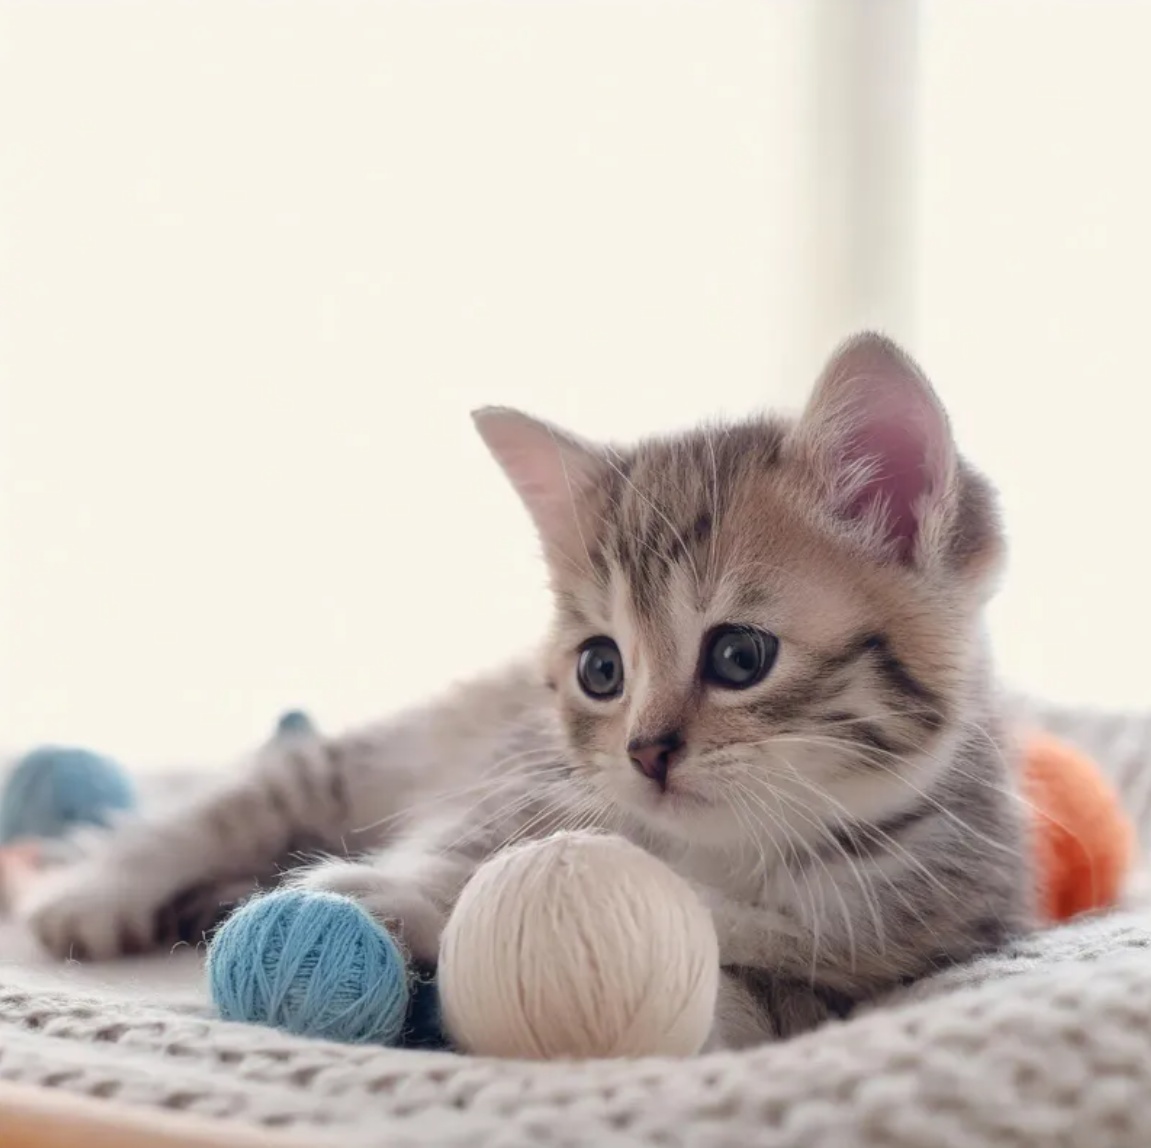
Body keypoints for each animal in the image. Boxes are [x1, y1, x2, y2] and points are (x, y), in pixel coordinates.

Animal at [20, 333, 1035, 1050]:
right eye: (601, 669)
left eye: (741, 656)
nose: (645, 752)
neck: (729, 854)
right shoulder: (511, 786)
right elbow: (460, 858)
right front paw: (387, 895)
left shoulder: (887, 963)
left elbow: (749, 999)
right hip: (374, 755)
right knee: (232, 802)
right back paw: (98, 889)